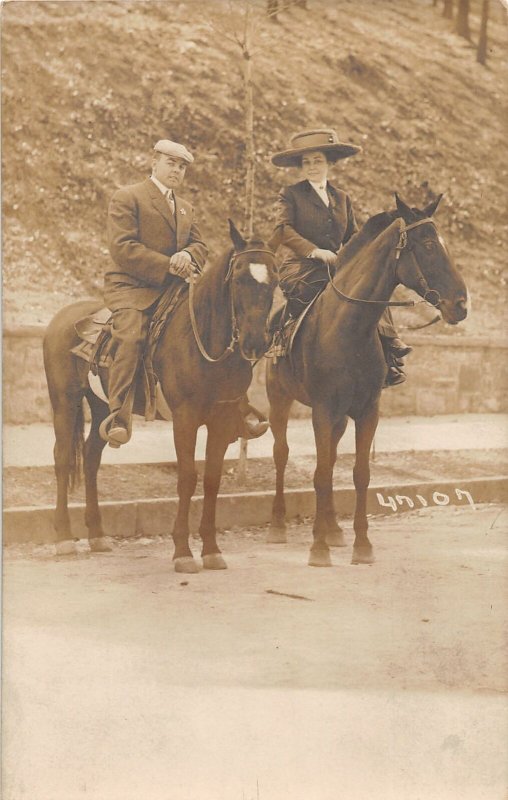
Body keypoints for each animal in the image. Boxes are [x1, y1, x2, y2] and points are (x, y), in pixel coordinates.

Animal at [41, 219, 276, 568]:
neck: (202, 337)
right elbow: (187, 478)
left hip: (104, 409)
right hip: (64, 401)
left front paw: (211, 549)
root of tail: (63, 317)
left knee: (92, 456)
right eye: (239, 278)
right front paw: (182, 551)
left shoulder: (221, 419)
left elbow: (212, 479)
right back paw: (64, 538)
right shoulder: (185, 418)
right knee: (61, 458)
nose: (255, 342)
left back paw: (97, 535)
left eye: (275, 280)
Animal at [266, 195, 468, 568]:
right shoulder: (322, 410)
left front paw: (360, 544)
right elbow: (320, 474)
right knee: (282, 454)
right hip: (279, 400)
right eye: (429, 245)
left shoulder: (367, 411)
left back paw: (333, 529)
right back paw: (278, 525)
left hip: (340, 418)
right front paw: (318, 549)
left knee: (330, 459)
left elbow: (358, 474)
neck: (349, 327)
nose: (461, 304)